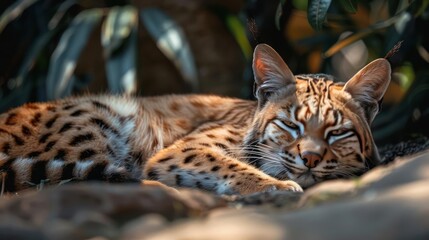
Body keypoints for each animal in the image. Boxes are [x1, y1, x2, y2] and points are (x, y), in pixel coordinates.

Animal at [0, 44, 388, 194]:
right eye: (290, 125)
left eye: (337, 132)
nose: (309, 159)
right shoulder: (178, 150)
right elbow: (230, 164)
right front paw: (276, 185)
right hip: (100, 111)